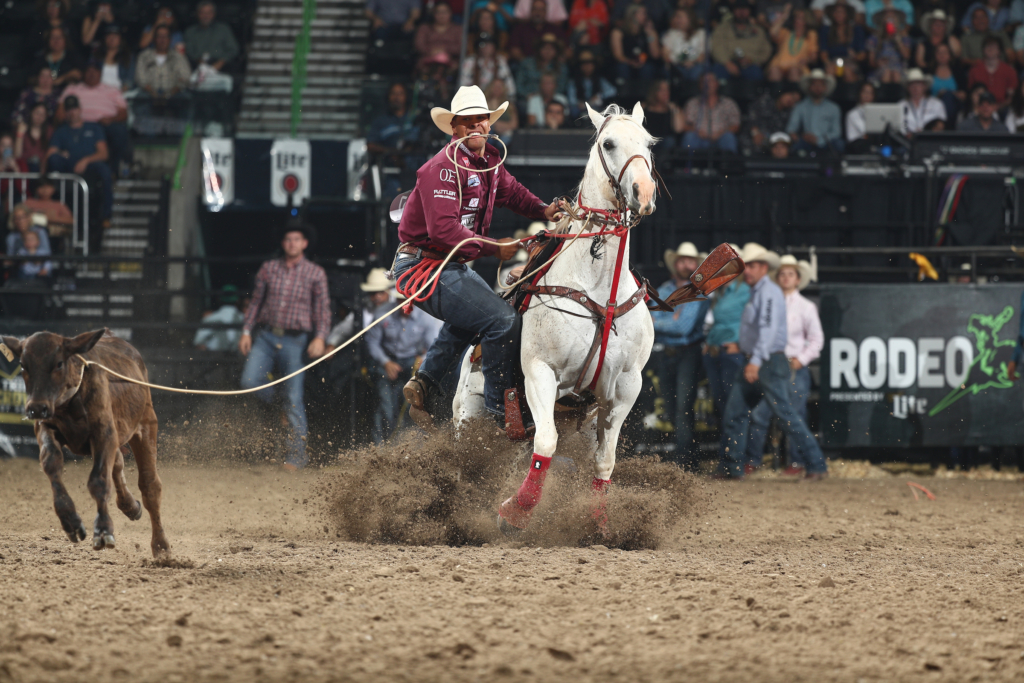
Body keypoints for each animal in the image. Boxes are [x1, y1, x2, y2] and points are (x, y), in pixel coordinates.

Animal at [2, 327, 169, 557]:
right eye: (23, 365)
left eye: (59, 363)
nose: (35, 408)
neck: (70, 402)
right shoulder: (45, 427)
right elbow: (51, 464)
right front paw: (70, 522)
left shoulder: (104, 433)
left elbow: (99, 479)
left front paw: (103, 531)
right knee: (118, 464)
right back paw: (131, 506)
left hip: (145, 424)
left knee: (150, 485)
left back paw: (161, 547)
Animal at [452, 101, 659, 532]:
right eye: (608, 143)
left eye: (648, 143)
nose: (644, 193)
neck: (599, 291)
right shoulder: (539, 372)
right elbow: (544, 444)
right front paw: (515, 511)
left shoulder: (626, 386)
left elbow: (604, 461)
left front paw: (598, 523)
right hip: (468, 414)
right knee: (468, 461)